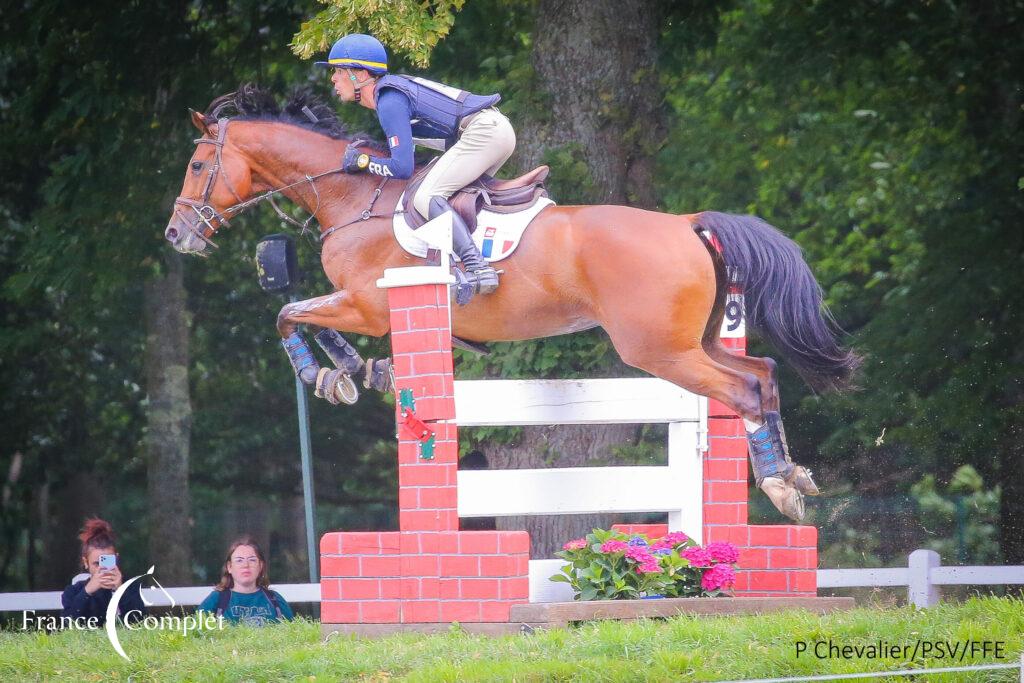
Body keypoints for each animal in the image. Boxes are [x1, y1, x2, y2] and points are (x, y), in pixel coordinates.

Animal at [165, 88, 856, 520]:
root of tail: (686, 223)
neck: (354, 197)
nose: (176, 236)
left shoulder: (367, 306)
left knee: (740, 390)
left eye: (197, 165)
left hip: (658, 350)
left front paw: (330, 376)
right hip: (699, 340)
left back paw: (778, 486)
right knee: (763, 374)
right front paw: (358, 372)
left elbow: (288, 313)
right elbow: (299, 316)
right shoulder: (366, 309)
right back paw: (793, 477)